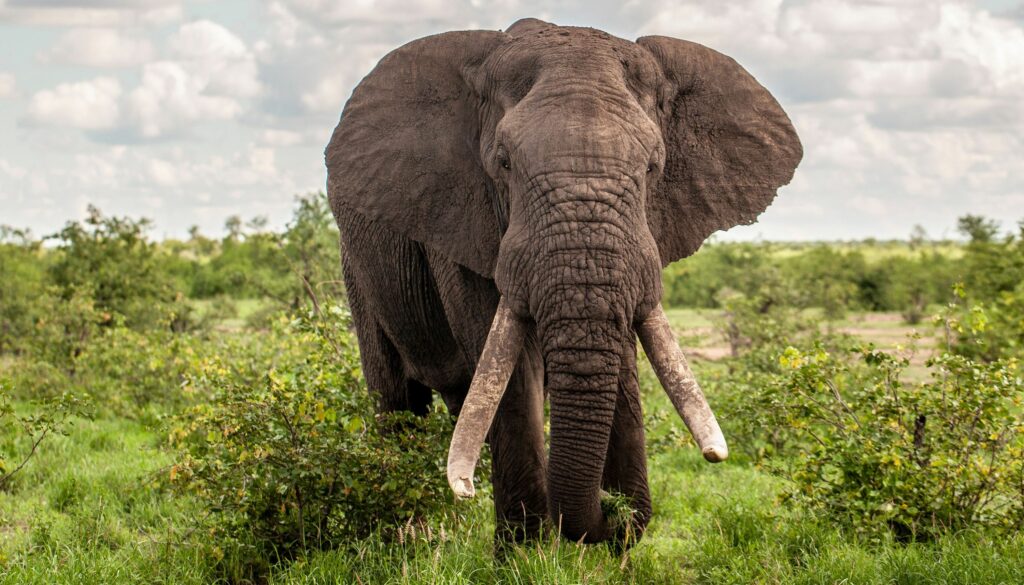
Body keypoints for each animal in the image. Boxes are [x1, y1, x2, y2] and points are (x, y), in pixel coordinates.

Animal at [325, 19, 798, 549]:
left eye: (653, 166)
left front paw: (616, 532)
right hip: (356, 268)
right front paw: (526, 551)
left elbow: (623, 359)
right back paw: (413, 537)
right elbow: (510, 373)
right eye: (504, 163)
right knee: (396, 402)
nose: (609, 512)